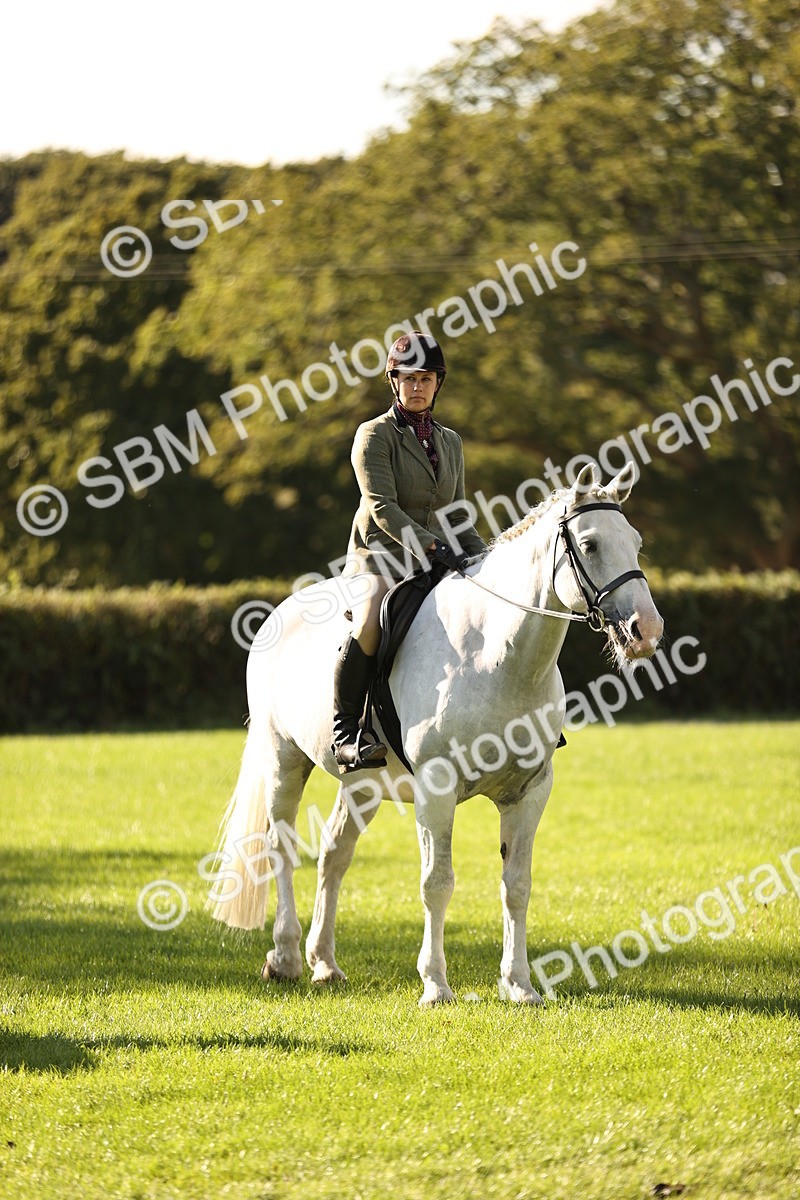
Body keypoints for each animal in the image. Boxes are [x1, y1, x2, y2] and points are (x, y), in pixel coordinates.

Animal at [208, 462, 663, 1006]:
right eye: (590, 544)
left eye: (636, 542)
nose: (647, 631)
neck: (497, 656)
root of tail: (277, 614)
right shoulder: (437, 786)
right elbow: (437, 882)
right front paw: (436, 985)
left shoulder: (530, 791)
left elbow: (517, 884)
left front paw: (520, 985)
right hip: (284, 760)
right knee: (280, 848)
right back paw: (286, 957)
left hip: (362, 783)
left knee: (334, 856)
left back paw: (325, 963)